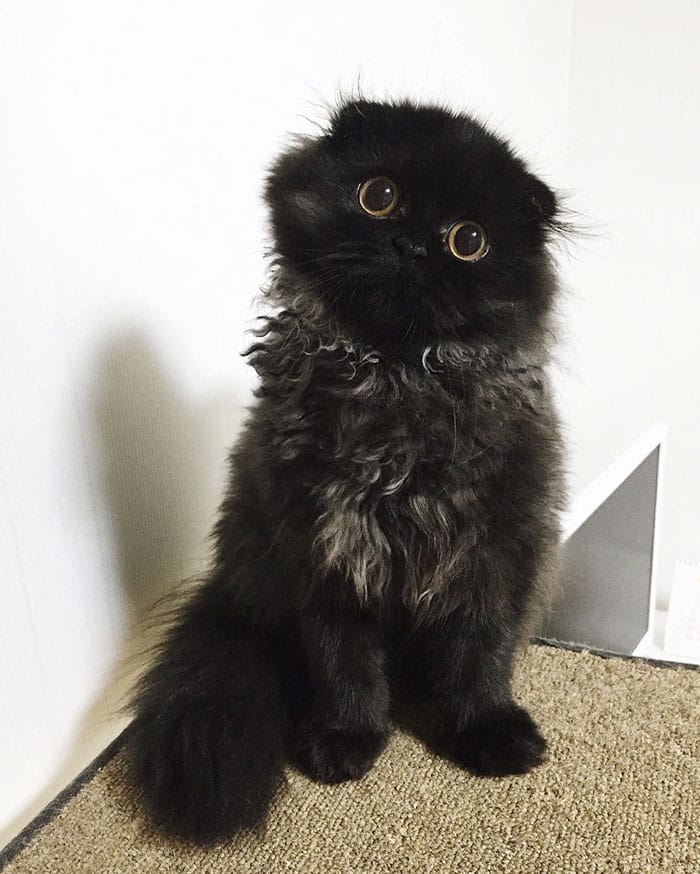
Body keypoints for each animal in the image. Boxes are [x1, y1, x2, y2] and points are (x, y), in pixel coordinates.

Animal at [129, 99, 568, 840]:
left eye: (469, 241)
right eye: (379, 196)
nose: (414, 245)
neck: (395, 382)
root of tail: (226, 588)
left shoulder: (496, 549)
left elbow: (480, 655)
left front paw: (485, 731)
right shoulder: (324, 552)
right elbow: (345, 665)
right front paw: (347, 738)